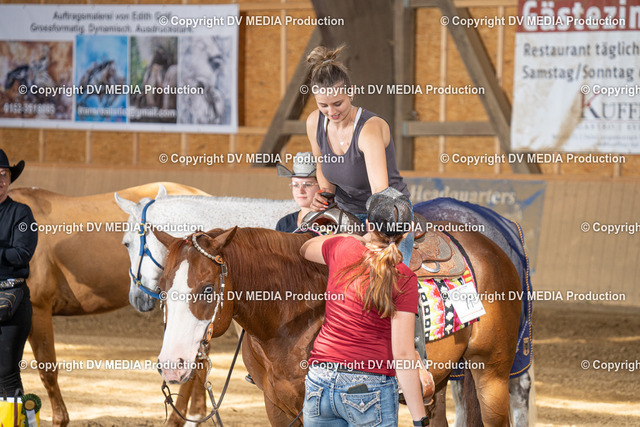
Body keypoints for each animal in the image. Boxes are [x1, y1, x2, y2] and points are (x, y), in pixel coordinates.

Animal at [152, 222, 521, 426]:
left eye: (207, 288)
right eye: (161, 287)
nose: (172, 364)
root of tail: (494, 248)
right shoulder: (277, 406)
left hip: (492, 373)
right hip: (439, 380)